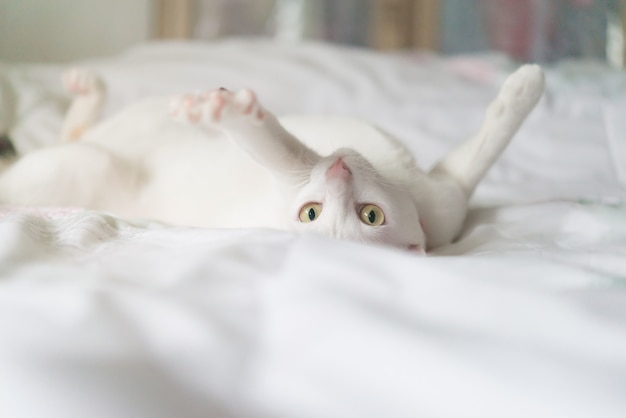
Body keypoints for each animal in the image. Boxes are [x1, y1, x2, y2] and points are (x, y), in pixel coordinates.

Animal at [0, 65, 540, 253]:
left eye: (370, 216)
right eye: (311, 213)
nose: (339, 169)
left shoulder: (446, 205)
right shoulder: (449, 200)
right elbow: (485, 148)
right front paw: (527, 88)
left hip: (83, 162)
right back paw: (89, 89)